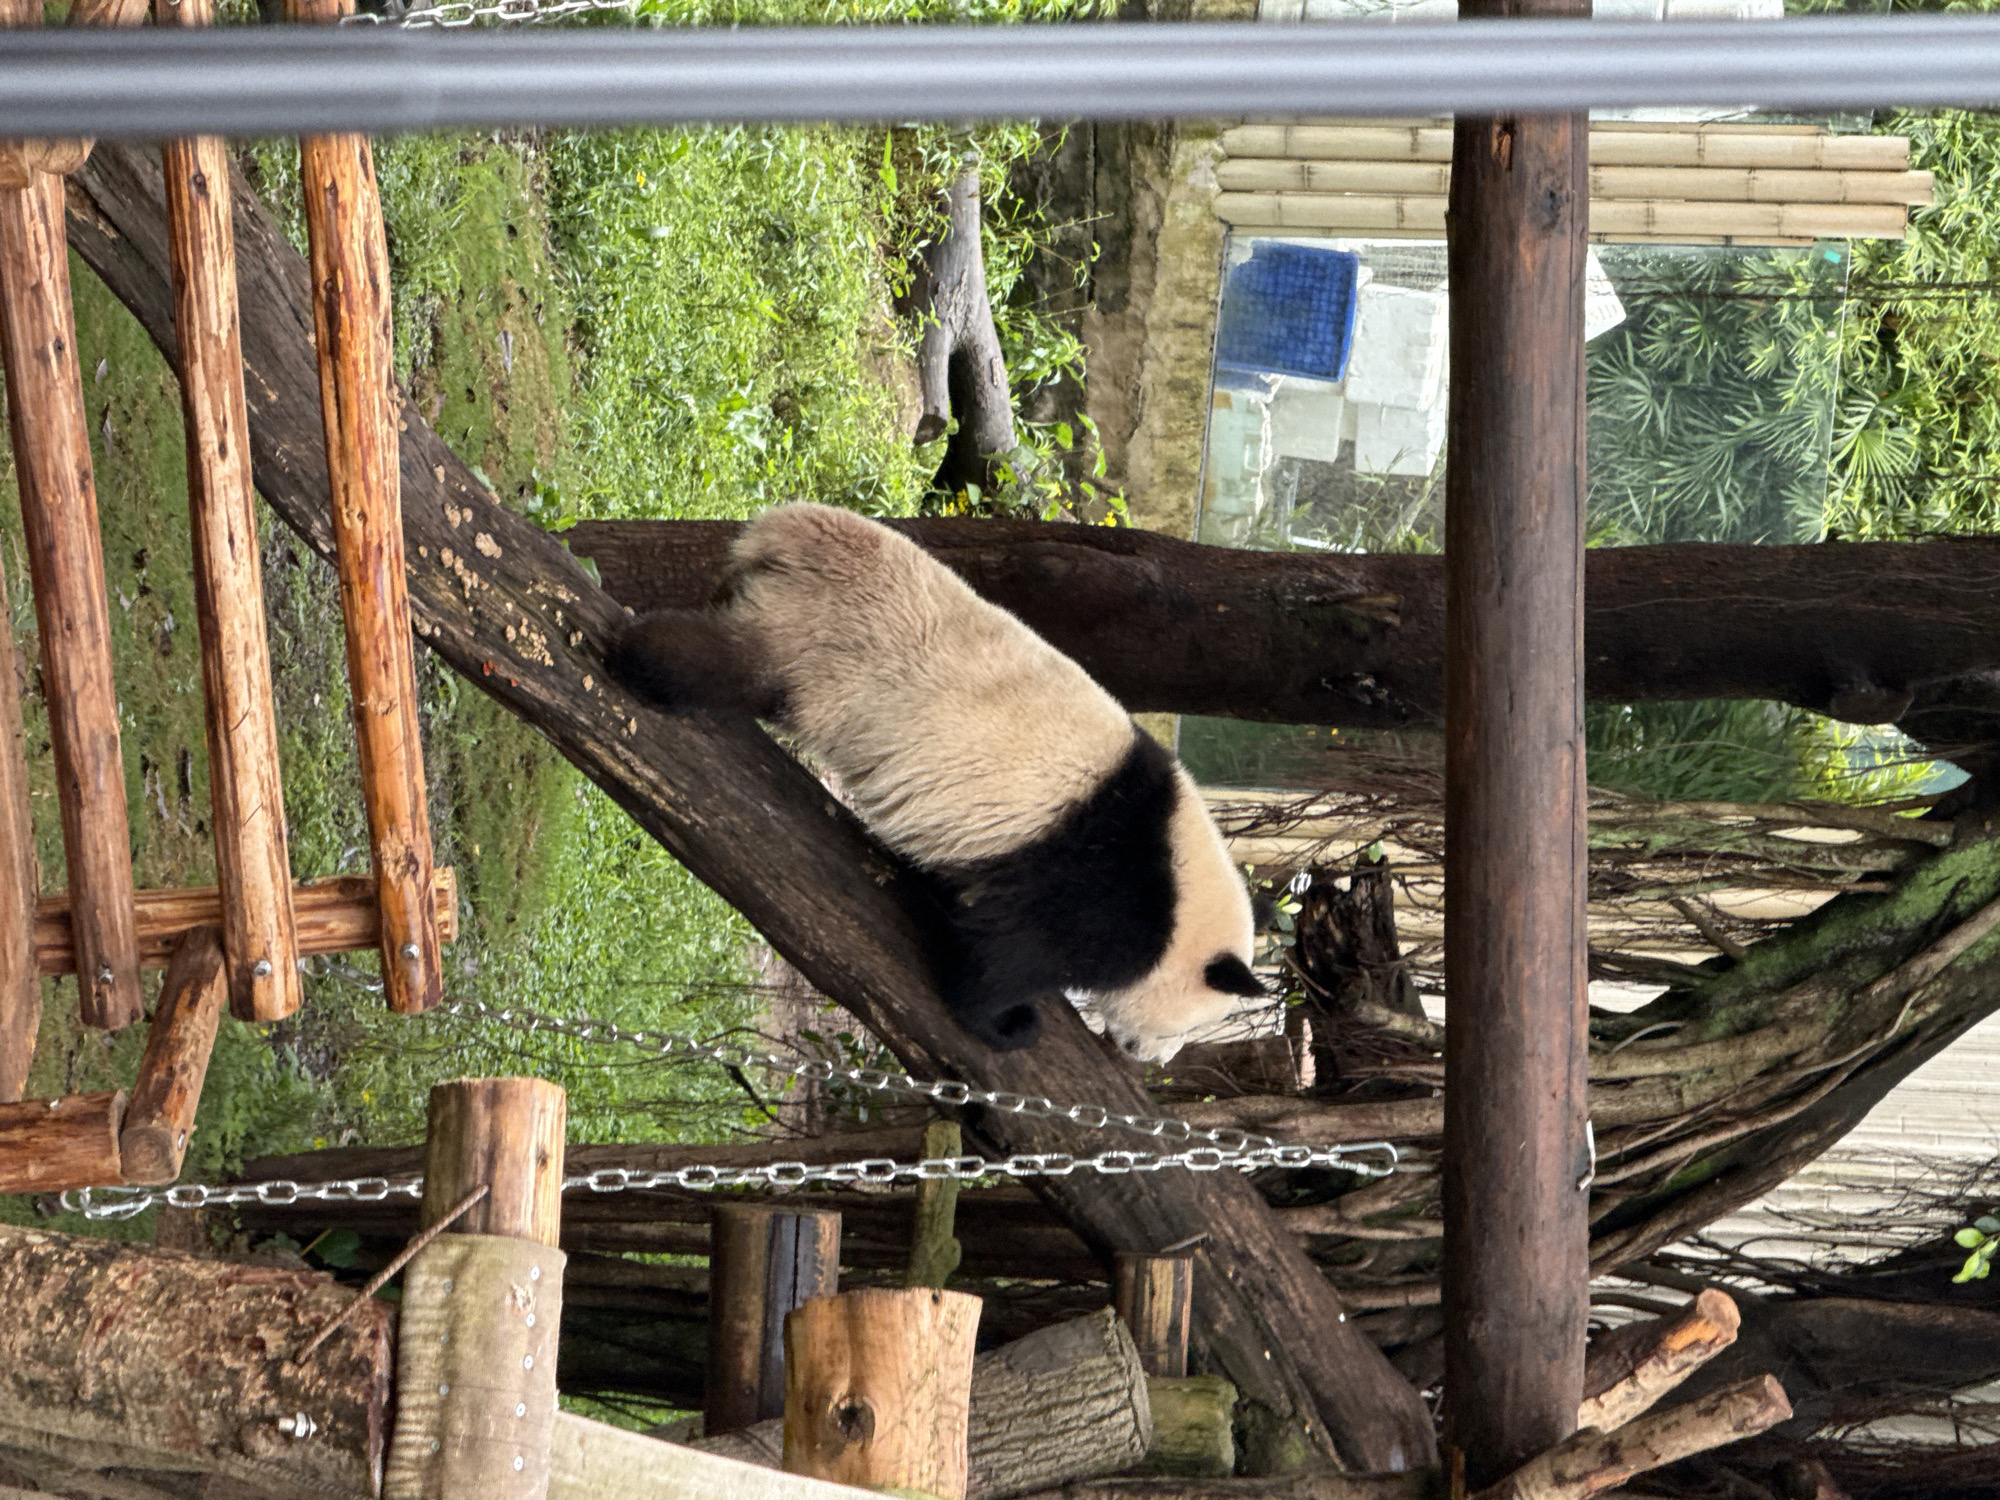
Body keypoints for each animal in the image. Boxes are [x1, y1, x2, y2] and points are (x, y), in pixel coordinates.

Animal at [607, 502, 1265, 1062]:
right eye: (1197, 1024)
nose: (1152, 1059)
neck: (1182, 893)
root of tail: (793, 527)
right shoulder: (1097, 882)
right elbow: (1004, 958)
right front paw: (1009, 1024)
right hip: (828, 641)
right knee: (727, 662)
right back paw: (638, 658)